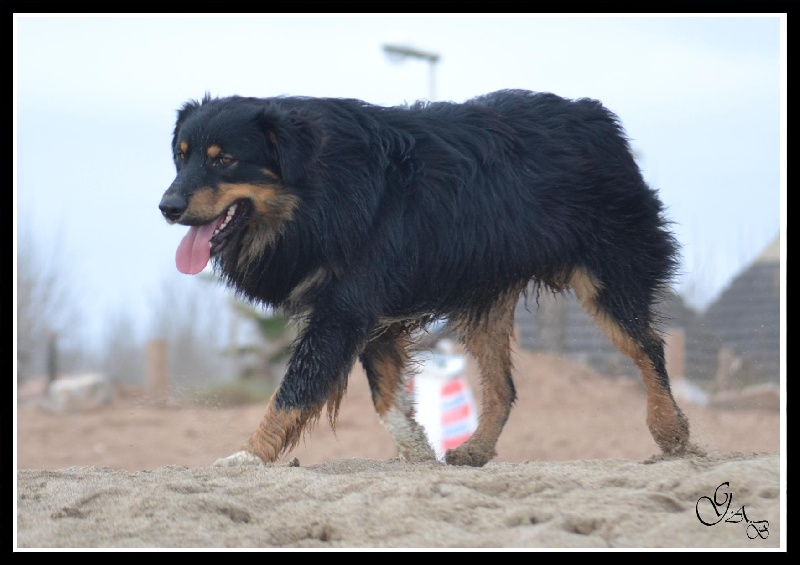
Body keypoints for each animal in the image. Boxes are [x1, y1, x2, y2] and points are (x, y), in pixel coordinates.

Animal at [159, 89, 696, 468]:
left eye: (224, 159)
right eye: (181, 156)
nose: (167, 207)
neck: (317, 191)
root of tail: (596, 116)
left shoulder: (344, 309)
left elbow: (294, 391)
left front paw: (248, 456)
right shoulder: (367, 311)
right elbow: (387, 398)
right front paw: (418, 454)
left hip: (607, 276)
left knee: (647, 349)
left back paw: (672, 433)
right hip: (485, 300)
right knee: (503, 388)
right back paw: (475, 450)